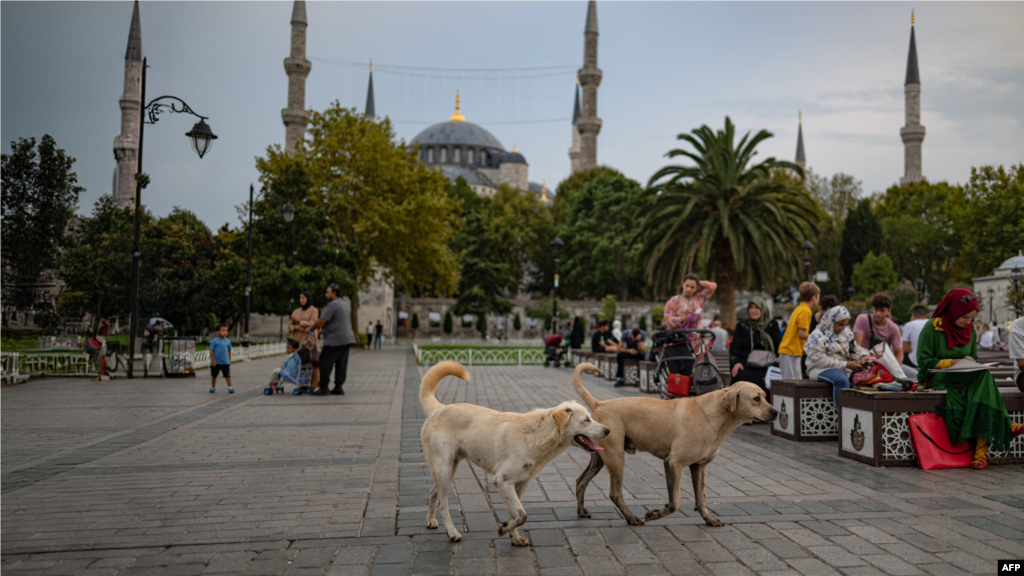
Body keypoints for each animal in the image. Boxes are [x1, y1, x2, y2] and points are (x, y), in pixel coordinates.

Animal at [417, 360, 606, 545]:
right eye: (586, 420)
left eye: (591, 417)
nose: (608, 430)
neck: (534, 436)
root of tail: (439, 408)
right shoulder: (502, 480)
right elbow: (522, 515)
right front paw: (503, 529)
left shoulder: (520, 483)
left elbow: (515, 513)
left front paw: (513, 536)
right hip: (444, 466)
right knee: (442, 503)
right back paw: (452, 532)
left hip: (451, 466)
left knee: (433, 493)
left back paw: (430, 521)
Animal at [573, 362, 778, 524]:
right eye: (756, 399)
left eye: (765, 396)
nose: (776, 412)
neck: (714, 415)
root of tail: (599, 404)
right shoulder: (674, 463)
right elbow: (675, 503)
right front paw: (654, 514)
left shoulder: (699, 467)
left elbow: (701, 498)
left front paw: (709, 519)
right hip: (616, 457)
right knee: (615, 493)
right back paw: (632, 518)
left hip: (600, 457)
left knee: (580, 481)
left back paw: (581, 511)